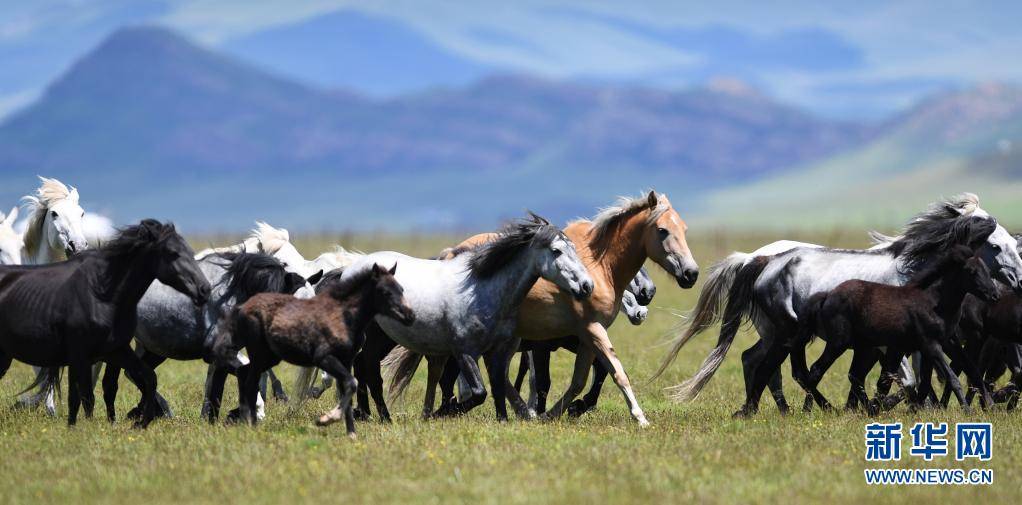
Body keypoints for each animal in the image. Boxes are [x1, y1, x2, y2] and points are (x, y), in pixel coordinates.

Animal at [0, 218, 209, 427]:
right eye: (172, 253)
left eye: (190, 251)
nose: (204, 289)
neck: (102, 294)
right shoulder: (79, 354)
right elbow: (79, 397)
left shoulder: (114, 350)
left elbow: (146, 378)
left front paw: (141, 422)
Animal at [213, 261, 412, 435]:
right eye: (385, 292)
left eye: (402, 289)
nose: (409, 315)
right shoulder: (325, 358)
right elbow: (346, 383)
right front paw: (327, 417)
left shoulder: (346, 361)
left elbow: (348, 386)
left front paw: (349, 429)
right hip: (262, 354)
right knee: (250, 378)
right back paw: (250, 418)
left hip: (270, 356)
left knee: (245, 373)